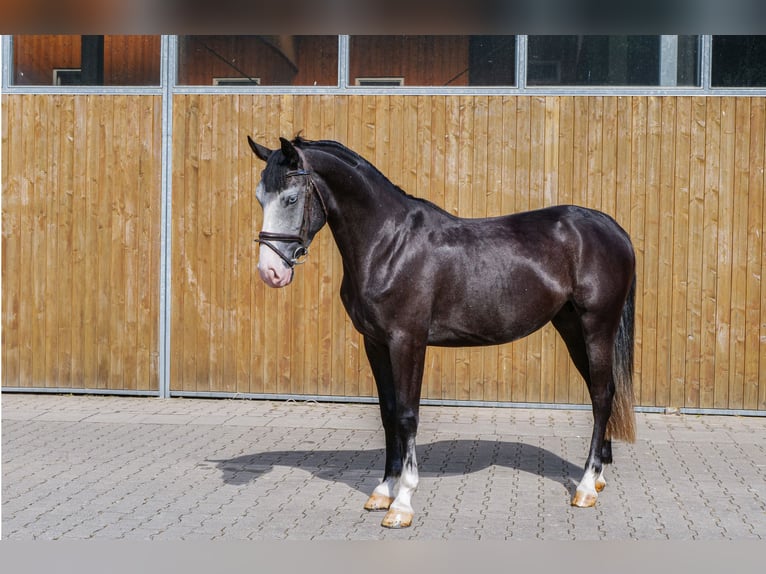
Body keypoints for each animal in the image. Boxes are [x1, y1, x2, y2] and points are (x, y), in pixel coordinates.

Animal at [246, 135, 637, 528]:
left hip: (597, 326)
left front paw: (402, 502)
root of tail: (610, 228)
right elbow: (388, 412)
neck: (389, 245)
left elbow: (407, 415)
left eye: (290, 198)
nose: (270, 272)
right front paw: (383, 491)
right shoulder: (375, 343)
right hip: (571, 326)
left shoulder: (408, 341)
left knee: (602, 395)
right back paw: (598, 478)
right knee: (602, 392)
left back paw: (585, 488)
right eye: (260, 197)